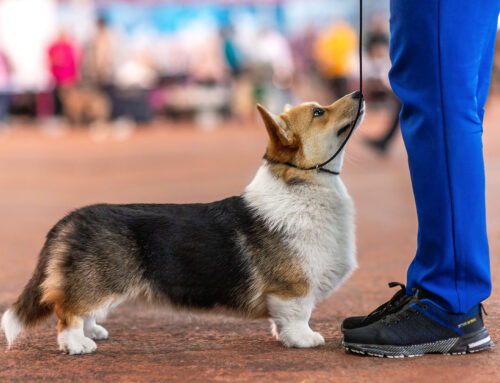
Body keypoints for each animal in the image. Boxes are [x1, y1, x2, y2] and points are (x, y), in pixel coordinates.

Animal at [1, 91, 366, 356]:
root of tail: (70, 220)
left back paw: (93, 331)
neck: (302, 185)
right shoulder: (292, 288)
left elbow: (285, 320)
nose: (360, 93)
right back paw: (77, 344)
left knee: (81, 307)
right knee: (67, 310)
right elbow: (298, 316)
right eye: (318, 112)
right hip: (104, 279)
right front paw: (304, 339)